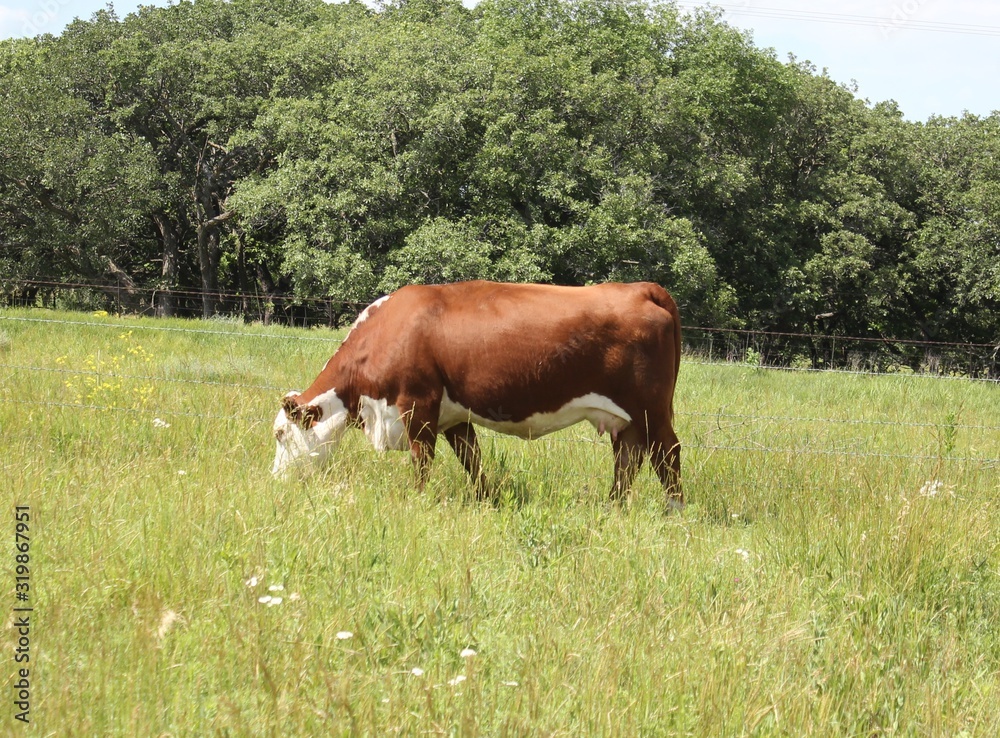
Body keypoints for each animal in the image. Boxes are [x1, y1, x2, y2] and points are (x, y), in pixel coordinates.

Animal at [272, 280, 683, 510]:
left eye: (280, 434)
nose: (275, 480)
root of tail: (641, 287)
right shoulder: (454, 416)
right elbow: (473, 461)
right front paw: (488, 501)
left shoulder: (417, 405)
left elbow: (422, 461)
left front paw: (417, 500)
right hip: (628, 418)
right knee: (628, 459)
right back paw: (612, 507)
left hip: (651, 408)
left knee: (668, 453)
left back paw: (673, 509)